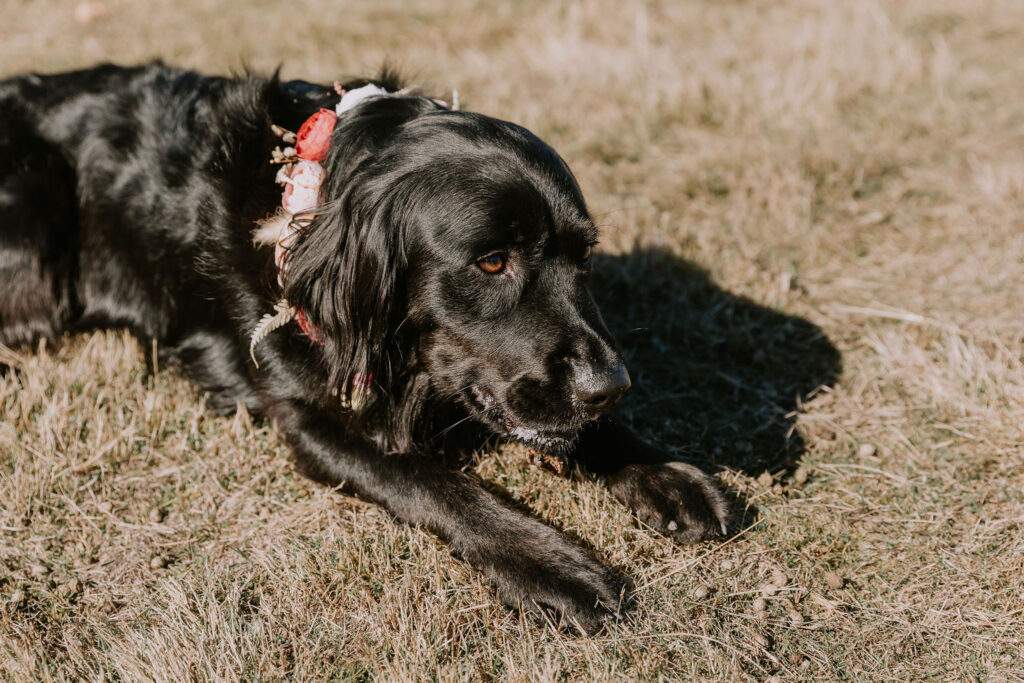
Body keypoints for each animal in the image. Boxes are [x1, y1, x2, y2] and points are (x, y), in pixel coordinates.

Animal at [0, 63, 729, 634]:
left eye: (585, 258)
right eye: (492, 262)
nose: (611, 386)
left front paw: (666, 472)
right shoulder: (312, 420)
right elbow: (439, 484)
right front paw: (553, 565)